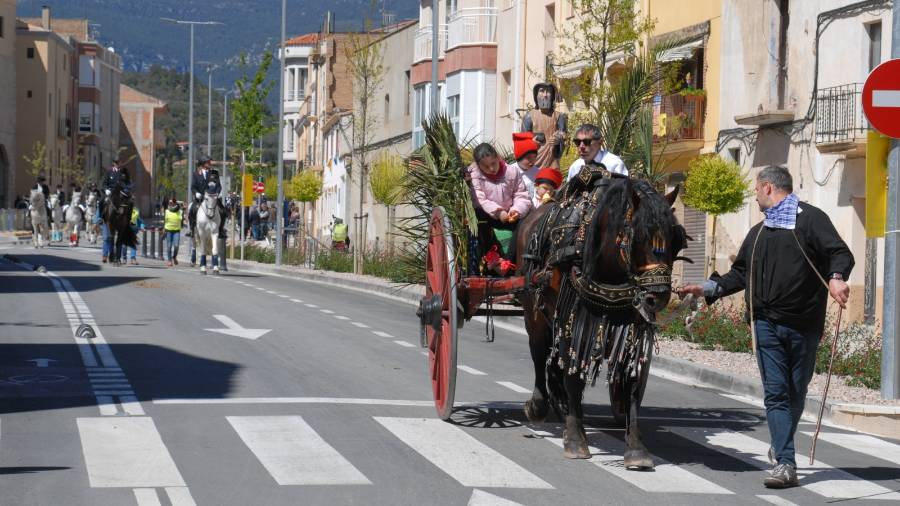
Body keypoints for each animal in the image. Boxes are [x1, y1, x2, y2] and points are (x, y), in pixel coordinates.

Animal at [512, 173, 688, 470]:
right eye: (638, 236)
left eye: (676, 239)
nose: (657, 296)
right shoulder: (575, 320)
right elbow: (573, 376)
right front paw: (575, 439)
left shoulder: (632, 326)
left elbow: (630, 381)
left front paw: (636, 447)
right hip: (533, 311)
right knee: (538, 353)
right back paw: (538, 405)